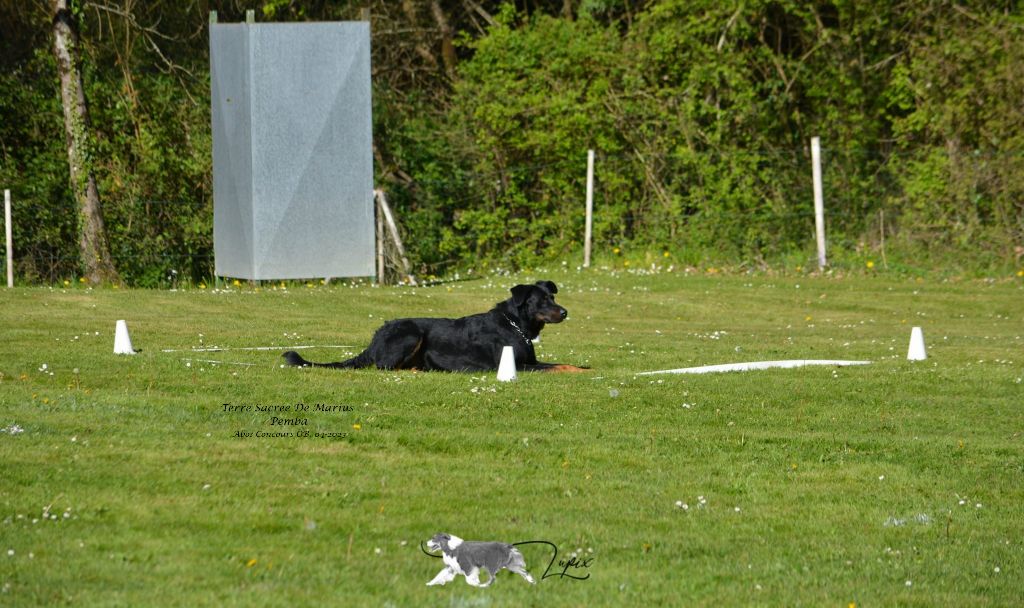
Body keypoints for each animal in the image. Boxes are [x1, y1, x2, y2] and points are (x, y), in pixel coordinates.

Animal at [282, 278, 585, 372]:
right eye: (541, 301)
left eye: (552, 296)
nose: (565, 311)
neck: (516, 325)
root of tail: (374, 339)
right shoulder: (518, 366)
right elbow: (556, 367)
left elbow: (562, 363)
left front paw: (583, 368)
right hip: (410, 332)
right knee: (384, 367)